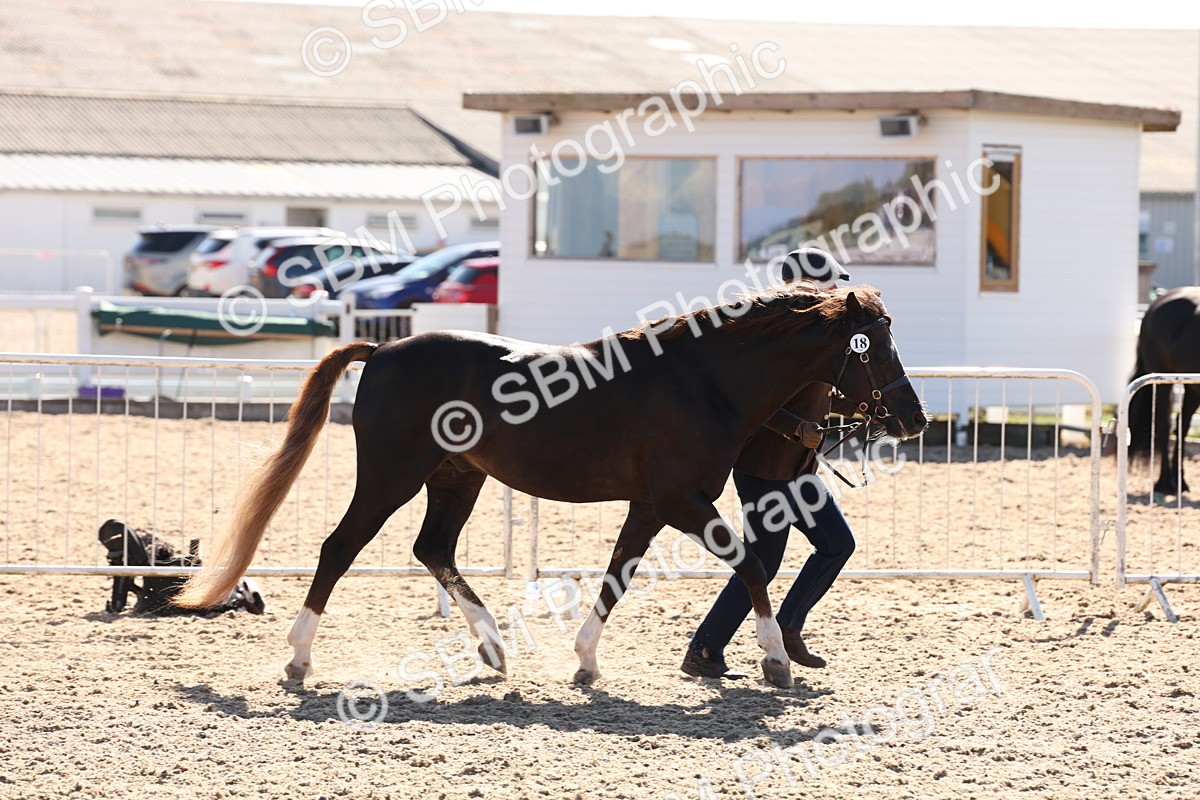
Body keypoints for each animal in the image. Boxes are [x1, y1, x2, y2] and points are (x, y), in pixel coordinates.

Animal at [176, 285, 927, 689]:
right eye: (874, 346)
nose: (914, 419)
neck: (699, 380)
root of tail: (383, 348)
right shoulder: (683, 502)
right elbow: (748, 565)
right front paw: (776, 663)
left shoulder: (650, 506)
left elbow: (617, 575)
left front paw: (586, 663)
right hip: (392, 475)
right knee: (340, 548)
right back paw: (298, 661)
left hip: (457, 477)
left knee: (433, 550)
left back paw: (494, 650)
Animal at [1128, 286, 1200, 496]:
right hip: (1161, 381)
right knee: (1164, 425)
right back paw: (1165, 483)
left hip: (1192, 387)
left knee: (1182, 424)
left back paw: (1180, 482)